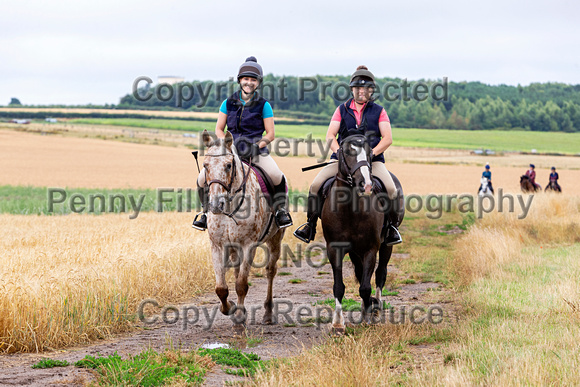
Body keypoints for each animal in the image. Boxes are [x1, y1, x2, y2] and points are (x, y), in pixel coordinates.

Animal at [199, 130, 286, 330]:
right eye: (205, 165)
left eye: (228, 165)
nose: (215, 205)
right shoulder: (217, 246)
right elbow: (221, 288)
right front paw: (230, 308)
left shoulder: (249, 246)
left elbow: (241, 285)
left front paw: (239, 320)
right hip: (234, 248)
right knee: (237, 270)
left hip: (275, 240)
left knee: (270, 271)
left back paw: (268, 313)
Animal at [320, 134, 406, 334]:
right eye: (346, 152)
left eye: (370, 153)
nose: (366, 185)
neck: (350, 207)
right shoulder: (335, 249)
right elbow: (339, 286)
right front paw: (337, 324)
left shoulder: (370, 249)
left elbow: (366, 287)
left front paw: (369, 313)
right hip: (354, 251)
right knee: (360, 273)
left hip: (386, 246)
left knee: (380, 274)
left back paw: (376, 309)